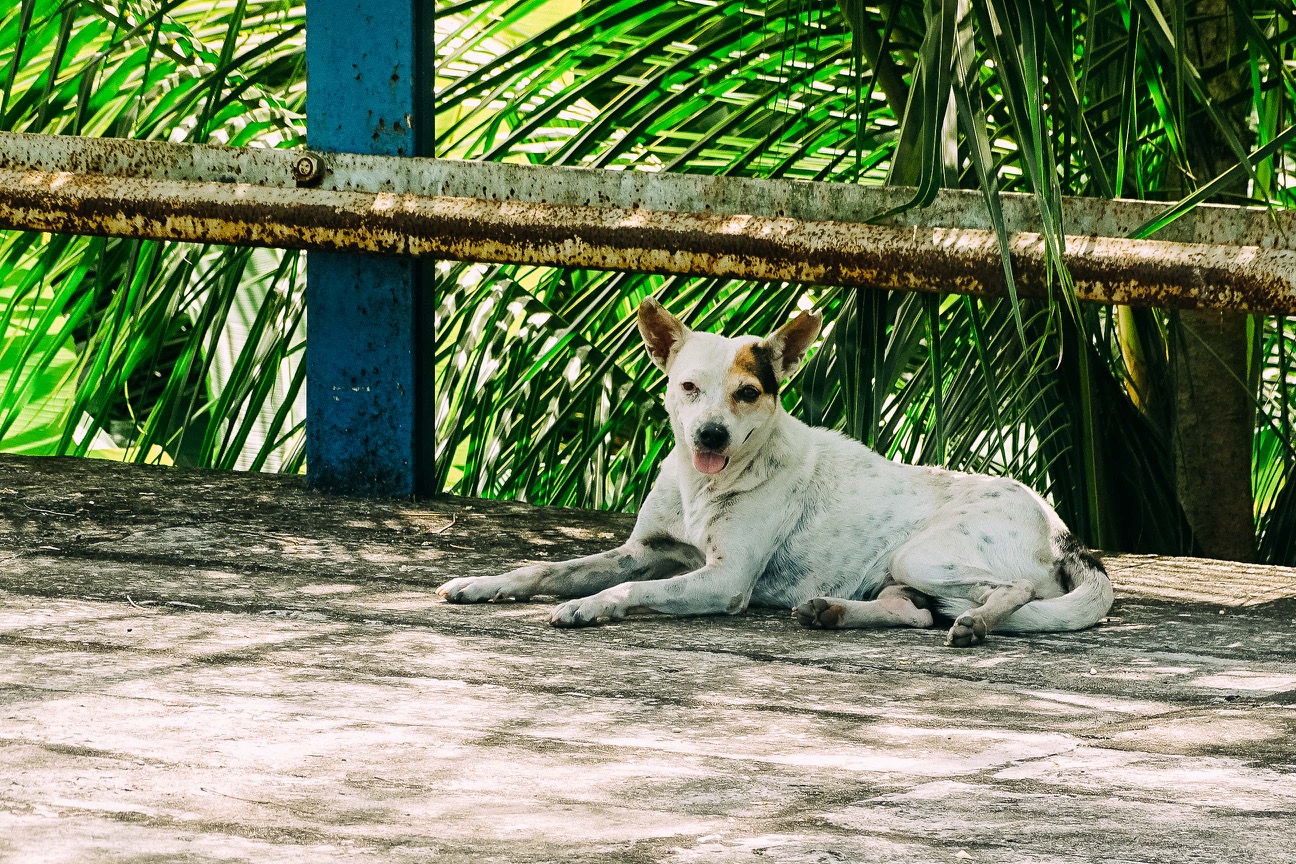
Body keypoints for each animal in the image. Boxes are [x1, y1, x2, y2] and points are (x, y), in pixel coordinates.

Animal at [438, 298, 1113, 647]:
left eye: (748, 393)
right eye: (688, 387)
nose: (710, 435)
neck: (707, 486)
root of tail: (1063, 531)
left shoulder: (723, 580)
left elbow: (628, 592)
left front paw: (588, 607)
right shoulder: (642, 551)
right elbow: (546, 568)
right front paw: (484, 584)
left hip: (924, 555)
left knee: (1009, 592)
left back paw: (976, 622)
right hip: (904, 575)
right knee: (916, 612)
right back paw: (831, 611)